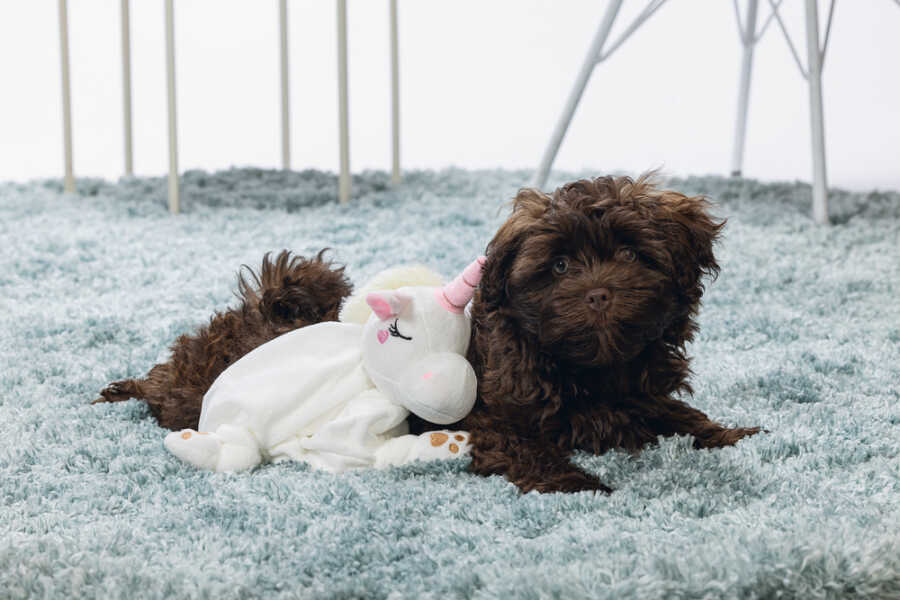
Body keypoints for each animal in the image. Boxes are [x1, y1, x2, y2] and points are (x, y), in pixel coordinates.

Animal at [455, 175, 761, 493]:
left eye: (629, 254)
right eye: (560, 265)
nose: (598, 295)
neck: (596, 366)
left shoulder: (649, 392)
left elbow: (681, 414)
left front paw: (732, 435)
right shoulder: (498, 419)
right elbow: (528, 451)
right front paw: (579, 485)